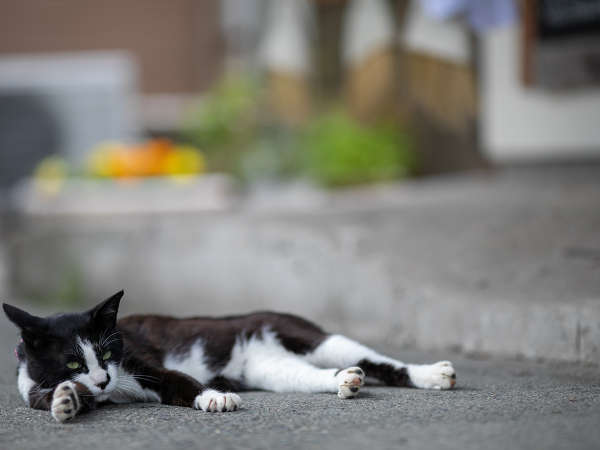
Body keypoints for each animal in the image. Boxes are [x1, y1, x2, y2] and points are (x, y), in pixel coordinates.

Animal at [2, 292, 458, 422]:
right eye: (73, 363)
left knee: (386, 364)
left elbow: (178, 380)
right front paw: (65, 401)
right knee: (320, 374)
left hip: (310, 336)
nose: (103, 381)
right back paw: (346, 381)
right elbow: (52, 397)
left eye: (109, 350)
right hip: (276, 371)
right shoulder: (35, 388)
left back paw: (433, 375)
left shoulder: (142, 364)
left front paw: (215, 397)